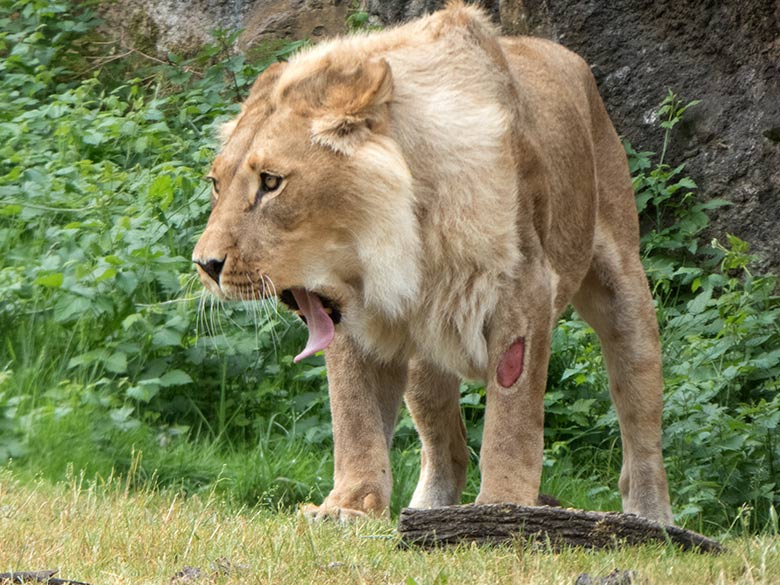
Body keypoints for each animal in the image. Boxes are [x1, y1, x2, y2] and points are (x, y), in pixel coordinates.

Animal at [192, 2, 672, 524]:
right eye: (216, 184)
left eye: (271, 182)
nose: (205, 265)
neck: (398, 242)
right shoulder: (346, 311)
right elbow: (354, 413)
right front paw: (348, 506)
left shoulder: (524, 290)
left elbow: (513, 417)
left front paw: (501, 504)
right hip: (426, 361)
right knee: (447, 447)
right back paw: (427, 512)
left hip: (624, 289)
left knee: (640, 420)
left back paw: (652, 518)